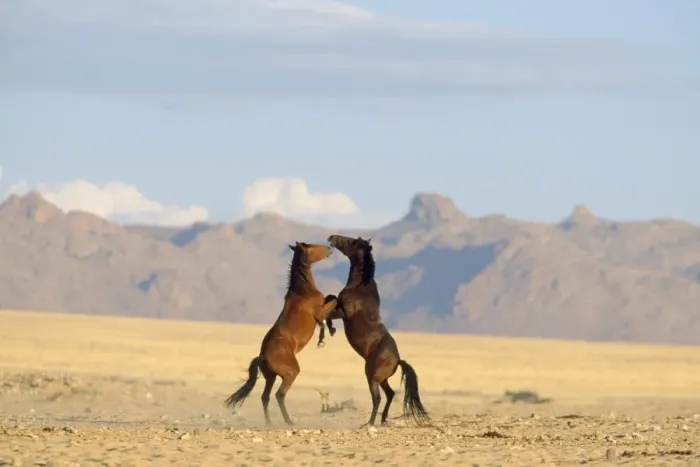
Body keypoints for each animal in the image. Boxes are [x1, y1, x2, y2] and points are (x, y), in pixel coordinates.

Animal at [224, 241, 338, 426]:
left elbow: (331, 298)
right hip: (290, 373)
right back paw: (288, 421)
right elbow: (333, 301)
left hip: (271, 377)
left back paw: (269, 423)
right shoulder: (319, 313)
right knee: (279, 394)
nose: (330, 248)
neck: (303, 291)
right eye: (311, 245)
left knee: (265, 397)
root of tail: (262, 356)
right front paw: (325, 337)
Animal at [321, 234, 430, 427]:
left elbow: (331, 305)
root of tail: (398, 360)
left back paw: (369, 423)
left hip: (372, 377)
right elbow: (330, 299)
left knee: (378, 398)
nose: (332, 237)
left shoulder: (344, 313)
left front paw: (331, 330)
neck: (360, 286)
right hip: (382, 379)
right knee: (390, 394)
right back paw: (383, 419)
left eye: (350, 241)